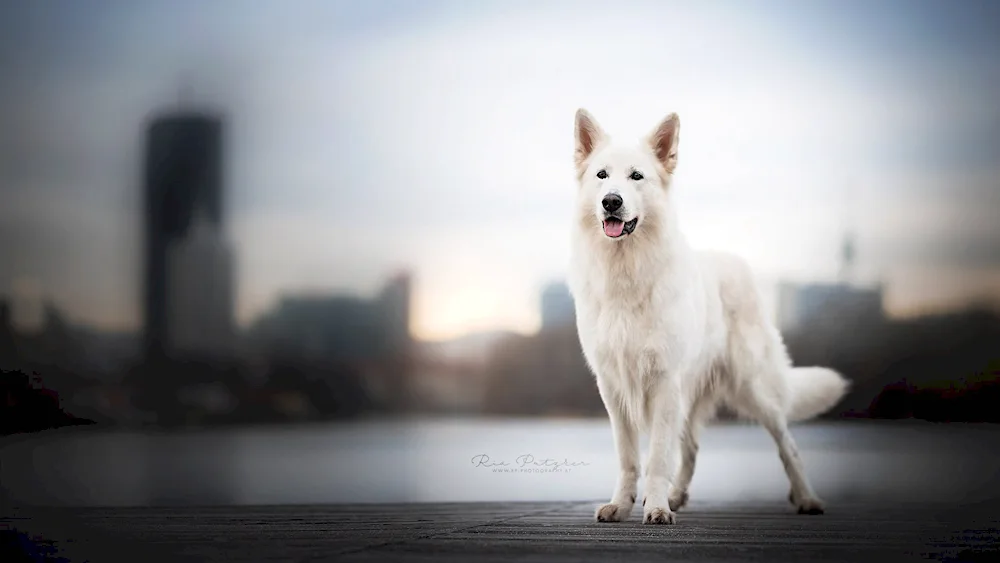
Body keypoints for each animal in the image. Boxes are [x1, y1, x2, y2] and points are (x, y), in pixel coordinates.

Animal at [568, 109, 848, 524]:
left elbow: (656, 457)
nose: (611, 202)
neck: (627, 269)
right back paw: (677, 495)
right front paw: (623, 504)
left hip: (754, 388)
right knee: (692, 448)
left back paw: (807, 498)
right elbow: (629, 457)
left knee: (788, 445)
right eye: (602, 175)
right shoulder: (613, 386)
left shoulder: (665, 381)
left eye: (636, 176)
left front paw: (655, 507)